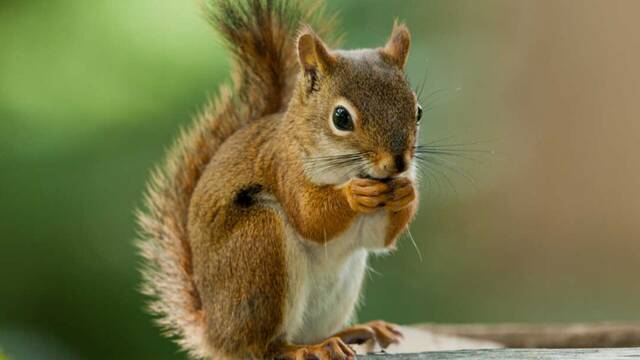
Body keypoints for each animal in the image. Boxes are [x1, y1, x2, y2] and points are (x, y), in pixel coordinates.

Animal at [138, 0, 422, 360]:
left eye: (418, 111)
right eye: (341, 118)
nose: (398, 162)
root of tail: (215, 334)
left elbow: (378, 238)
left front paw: (407, 192)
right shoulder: (284, 169)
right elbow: (311, 217)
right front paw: (354, 195)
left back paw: (352, 332)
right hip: (260, 247)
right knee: (263, 347)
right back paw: (305, 348)